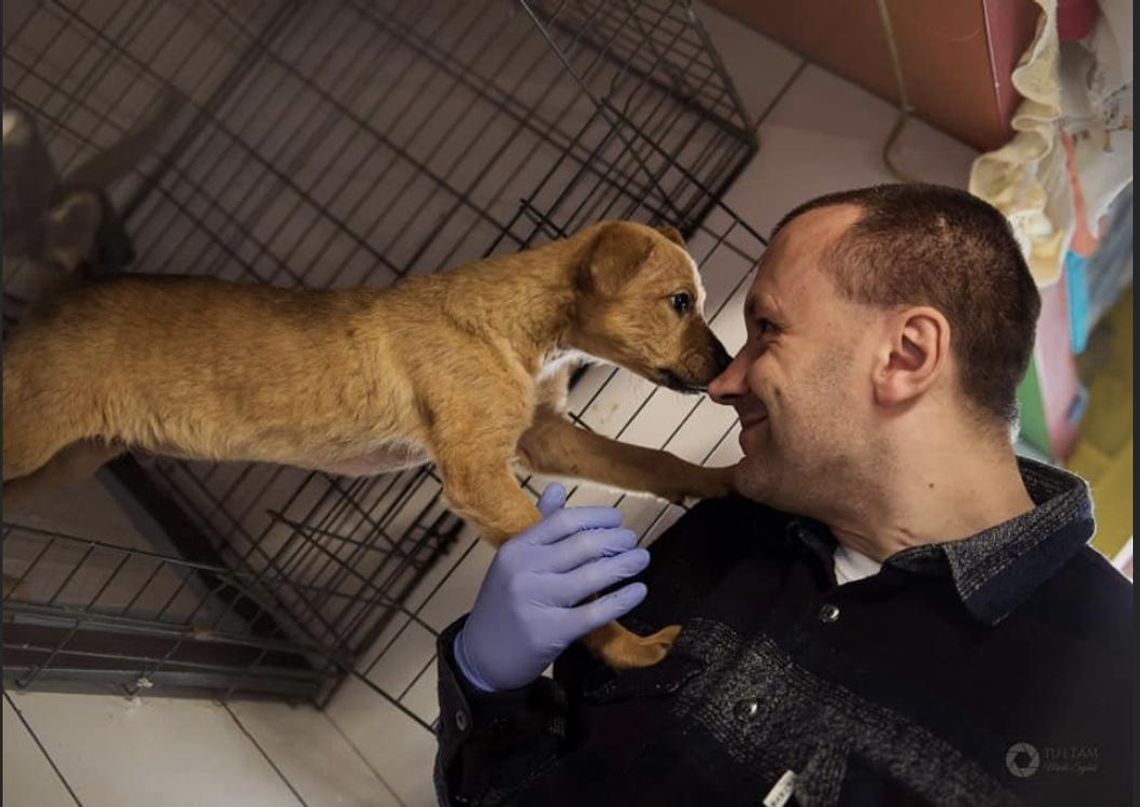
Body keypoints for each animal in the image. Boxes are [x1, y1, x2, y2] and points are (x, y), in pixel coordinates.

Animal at [4, 221, 734, 670]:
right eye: (678, 301)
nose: (729, 365)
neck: (520, 327)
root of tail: (55, 299)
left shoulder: (545, 438)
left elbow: (649, 461)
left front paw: (728, 480)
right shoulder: (478, 472)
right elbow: (569, 592)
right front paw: (629, 649)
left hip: (67, 458)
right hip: (30, 437)